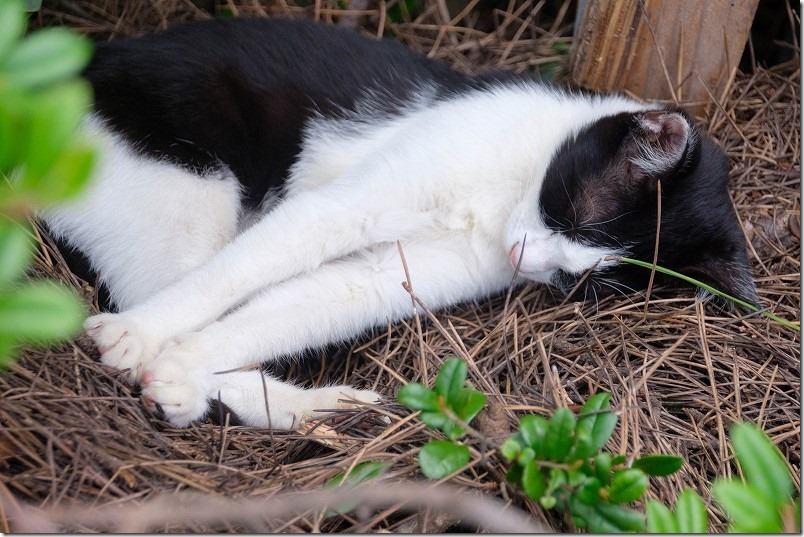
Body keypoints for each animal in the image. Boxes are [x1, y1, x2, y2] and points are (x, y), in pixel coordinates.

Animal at [42, 15, 760, 428]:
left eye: (583, 283)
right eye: (578, 210)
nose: (528, 262)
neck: (506, 193)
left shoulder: (389, 276)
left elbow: (290, 310)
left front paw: (188, 365)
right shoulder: (341, 207)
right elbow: (233, 281)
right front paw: (140, 336)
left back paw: (270, 401)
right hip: (186, 190)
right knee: (181, 277)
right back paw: (146, 341)